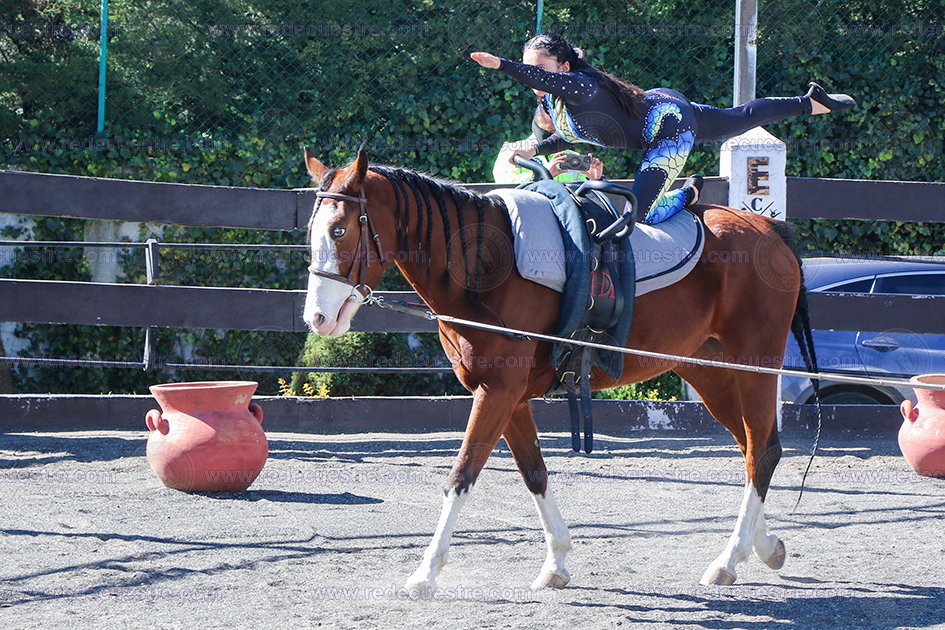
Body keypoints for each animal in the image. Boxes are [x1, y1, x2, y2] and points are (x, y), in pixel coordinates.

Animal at [300, 148, 812, 592]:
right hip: (711, 373)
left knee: (762, 453)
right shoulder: (509, 398)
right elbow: (534, 473)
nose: (317, 318)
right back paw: (765, 546)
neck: (486, 268)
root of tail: (767, 227)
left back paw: (729, 559)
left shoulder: (497, 392)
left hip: (755, 367)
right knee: (754, 448)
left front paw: (425, 574)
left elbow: (462, 474)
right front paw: (557, 563)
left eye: (340, 232)